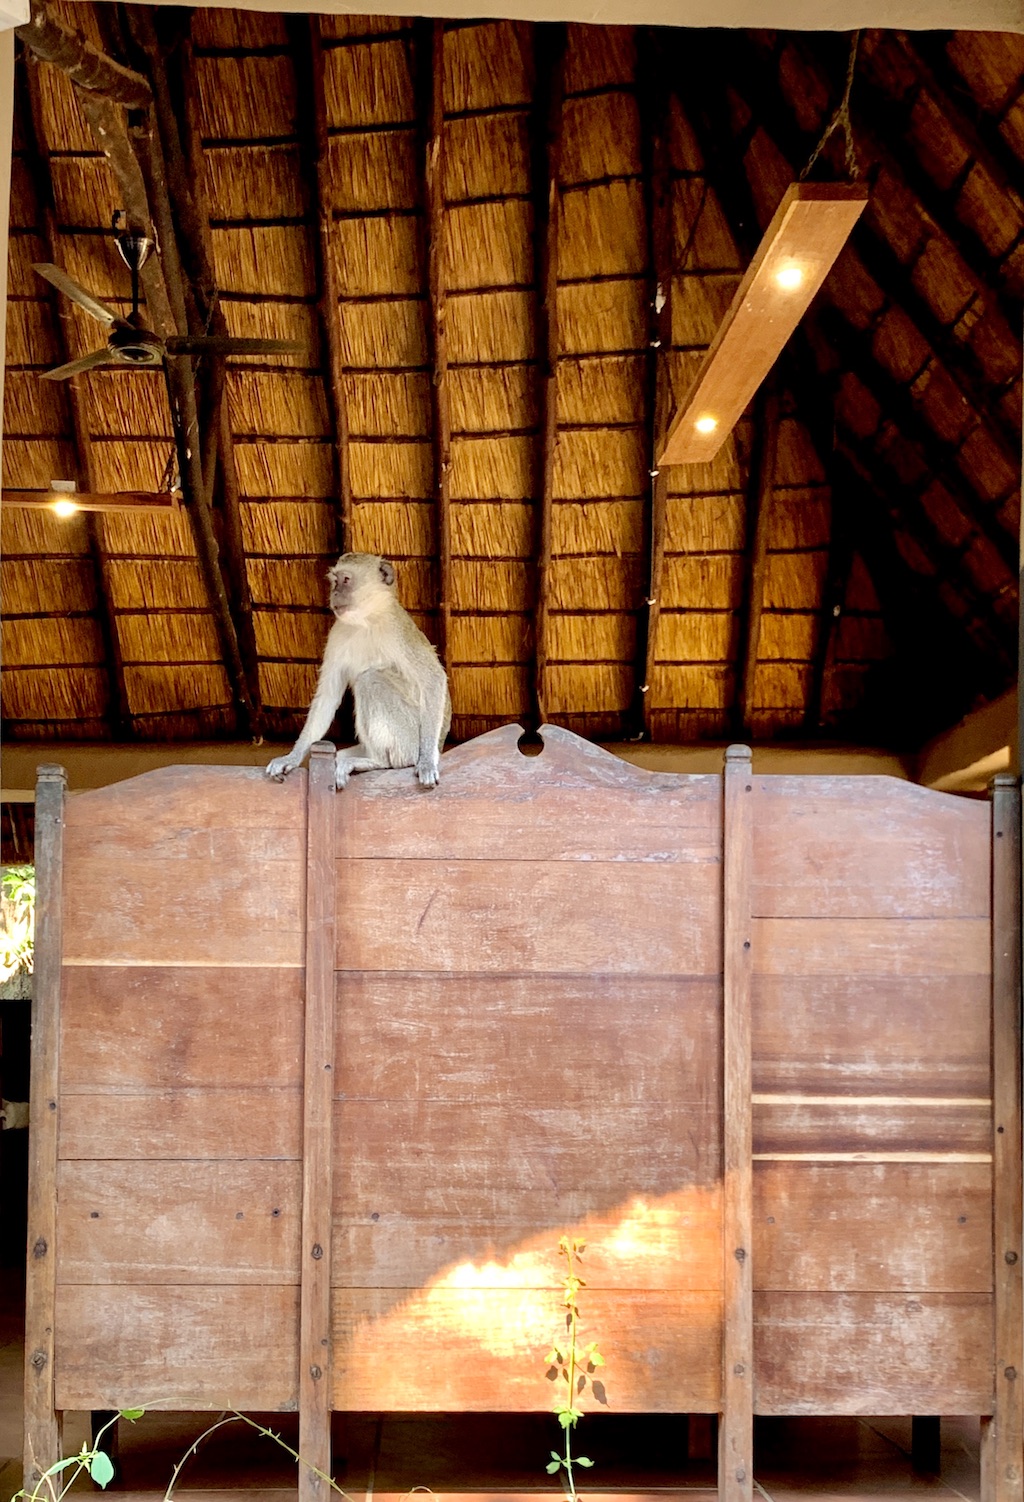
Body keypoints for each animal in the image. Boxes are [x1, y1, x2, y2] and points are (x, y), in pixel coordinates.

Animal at [265, 553, 451, 790]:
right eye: (334, 581)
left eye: (345, 580)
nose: (335, 593)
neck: (367, 620)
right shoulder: (337, 633)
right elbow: (328, 696)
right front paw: (292, 757)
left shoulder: (398, 630)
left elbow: (433, 678)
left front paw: (427, 761)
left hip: (409, 737)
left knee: (370, 679)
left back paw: (378, 761)